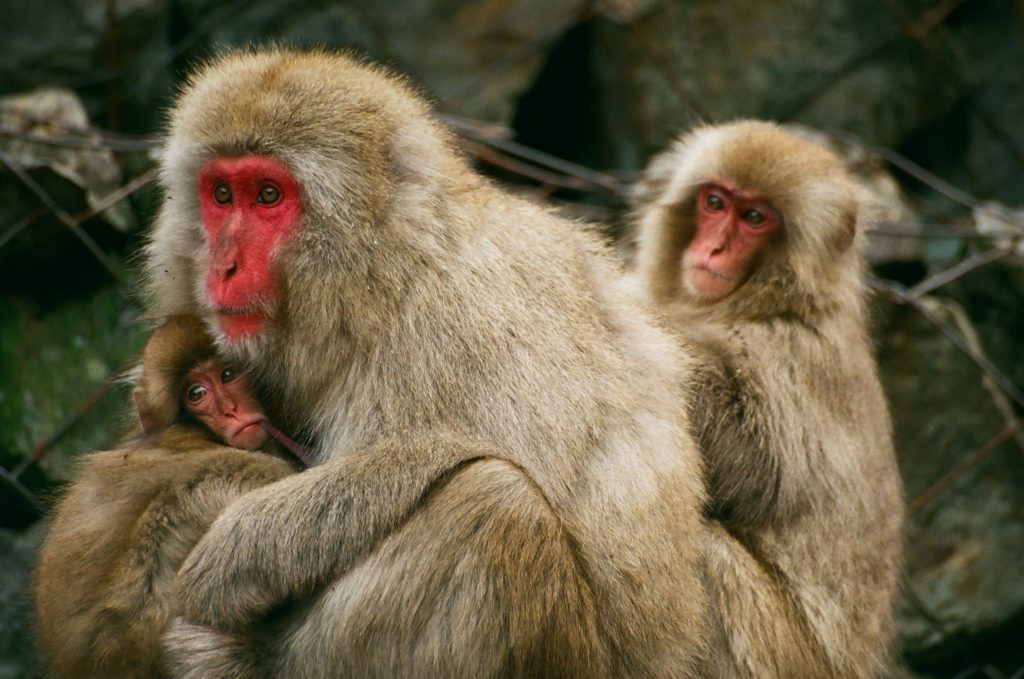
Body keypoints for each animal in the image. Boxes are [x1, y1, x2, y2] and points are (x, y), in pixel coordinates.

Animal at [630, 120, 905, 678]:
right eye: (715, 202)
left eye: (755, 218)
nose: (712, 249)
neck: (769, 302)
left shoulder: (794, 355)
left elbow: (759, 467)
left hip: (785, 658)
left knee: (709, 555)